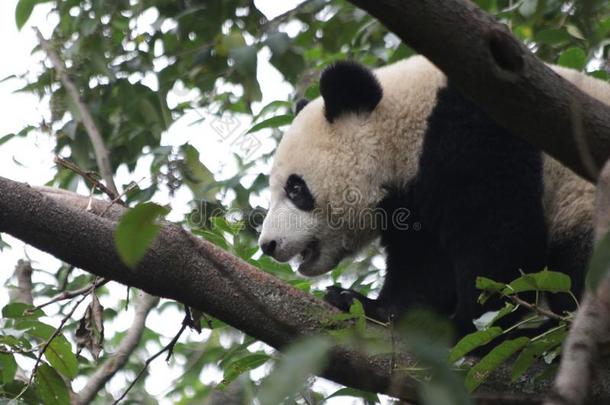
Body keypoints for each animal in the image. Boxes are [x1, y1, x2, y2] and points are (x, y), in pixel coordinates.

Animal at [256, 55, 608, 336]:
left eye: (296, 188)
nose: (268, 245)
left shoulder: (477, 135)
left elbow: (501, 239)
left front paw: (467, 325)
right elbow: (426, 264)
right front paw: (365, 305)